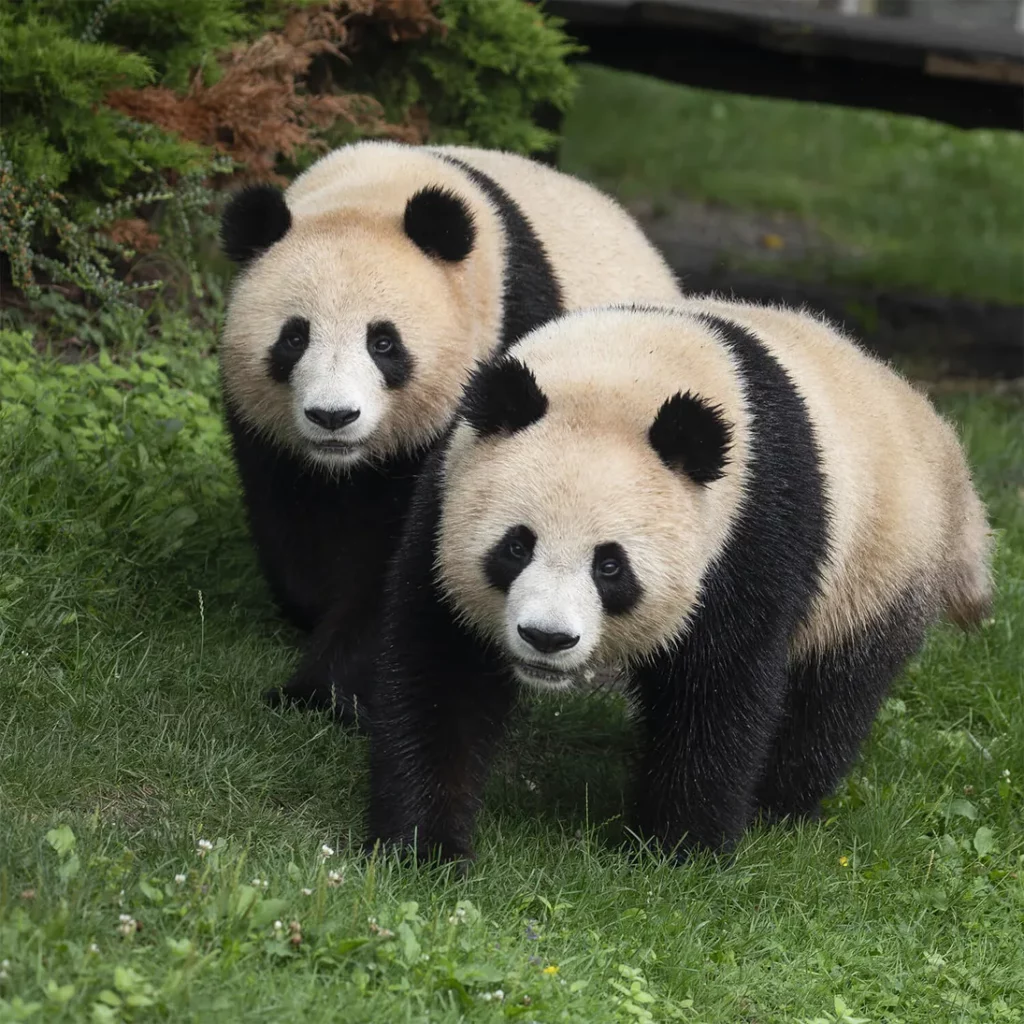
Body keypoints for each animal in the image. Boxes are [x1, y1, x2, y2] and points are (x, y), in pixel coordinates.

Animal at [216, 140, 679, 720]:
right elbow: (292, 519)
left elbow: (406, 563)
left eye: (383, 342)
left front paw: (322, 691)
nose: (333, 416)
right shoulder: (267, 434)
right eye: (294, 338)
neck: (374, 190)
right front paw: (309, 618)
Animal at [360, 299, 991, 864]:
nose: (547, 638)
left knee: (833, 693)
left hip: (876, 563)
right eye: (517, 546)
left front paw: (678, 849)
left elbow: (720, 686)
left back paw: (777, 805)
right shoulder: (444, 496)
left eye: (610, 565)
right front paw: (422, 847)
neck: (623, 368)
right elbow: (441, 669)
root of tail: (939, 437)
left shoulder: (749, 529)